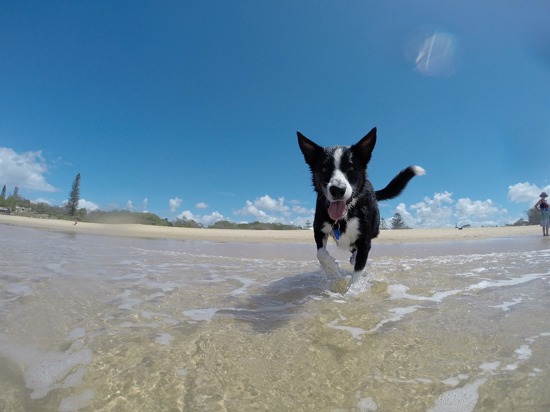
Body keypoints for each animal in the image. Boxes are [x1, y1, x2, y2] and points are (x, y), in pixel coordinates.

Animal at [300, 127, 424, 284]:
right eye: (324, 169)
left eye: (351, 168)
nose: (337, 189)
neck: (344, 217)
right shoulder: (319, 230)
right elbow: (320, 253)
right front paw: (333, 271)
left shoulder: (365, 241)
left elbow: (357, 273)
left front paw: (353, 289)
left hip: (375, 228)